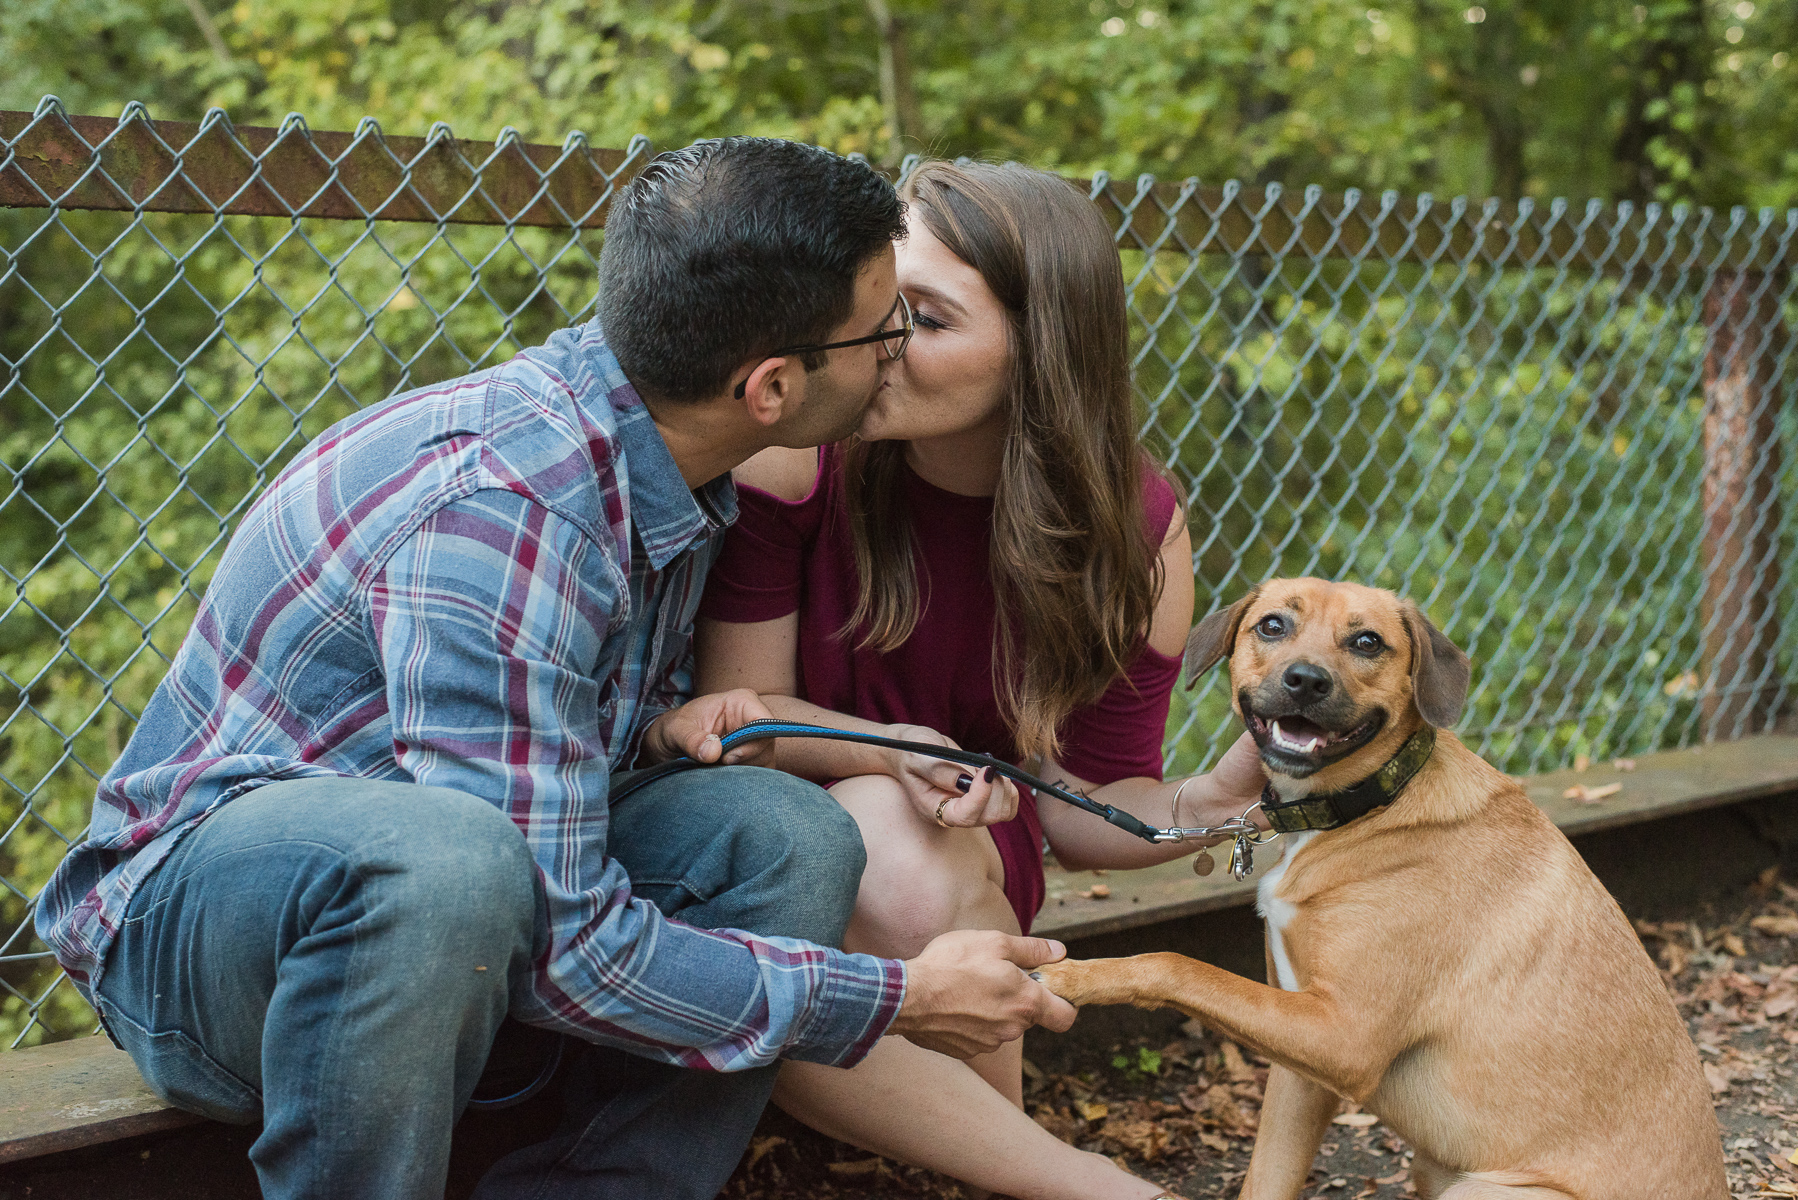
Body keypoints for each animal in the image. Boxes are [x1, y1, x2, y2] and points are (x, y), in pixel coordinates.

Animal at [1042, 575, 1726, 1194]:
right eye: (1272, 625)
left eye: (1367, 641)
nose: (1306, 680)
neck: (1362, 808)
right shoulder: (1299, 1064)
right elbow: (1266, 1178)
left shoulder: (1341, 1036)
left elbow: (1176, 963)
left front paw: (1073, 976)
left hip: (1483, 1188)